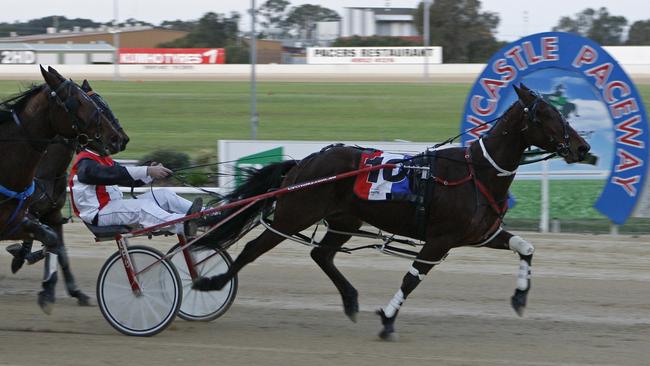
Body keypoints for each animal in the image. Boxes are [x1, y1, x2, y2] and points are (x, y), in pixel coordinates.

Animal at [0, 67, 122, 314]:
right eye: (83, 103)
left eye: (102, 105)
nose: (119, 138)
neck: (46, 172)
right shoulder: (28, 215)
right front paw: (22, 256)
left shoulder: (52, 214)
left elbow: (59, 249)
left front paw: (73, 292)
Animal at [191, 83, 588, 340]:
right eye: (546, 113)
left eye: (558, 110)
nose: (582, 147)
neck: (477, 171)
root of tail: (303, 163)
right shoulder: (439, 240)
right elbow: (412, 279)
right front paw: (387, 318)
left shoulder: (481, 234)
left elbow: (526, 248)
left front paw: (520, 297)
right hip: (294, 215)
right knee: (250, 250)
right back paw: (211, 283)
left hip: (343, 220)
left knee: (322, 254)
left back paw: (350, 299)